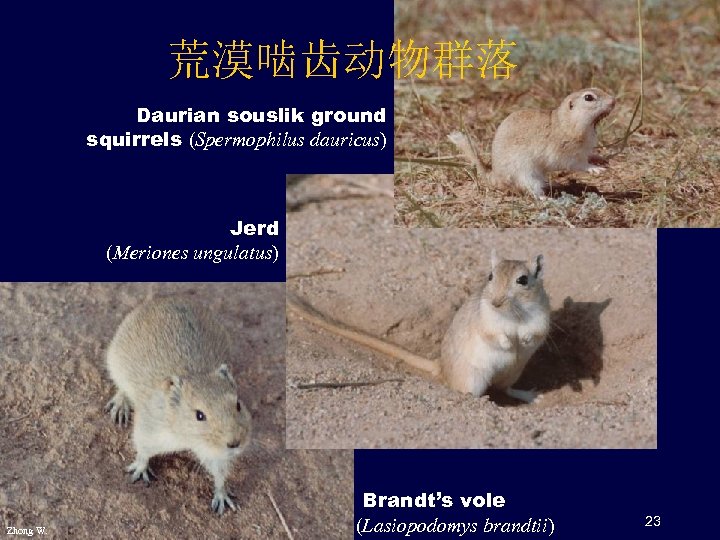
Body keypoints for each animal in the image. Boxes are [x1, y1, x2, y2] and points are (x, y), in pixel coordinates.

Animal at [105, 296, 252, 515]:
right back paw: (120, 408)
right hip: (115, 364)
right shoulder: (149, 431)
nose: (235, 443)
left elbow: (220, 474)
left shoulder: (215, 454)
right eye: (199, 415)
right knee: (121, 388)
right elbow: (142, 452)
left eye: (238, 405)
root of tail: (163, 299)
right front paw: (139, 471)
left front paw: (222, 497)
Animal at [288, 251, 550, 403]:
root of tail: (440, 367)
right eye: (490, 277)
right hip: (474, 377)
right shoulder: (486, 322)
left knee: (506, 390)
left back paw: (531, 395)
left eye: (522, 280)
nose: (495, 302)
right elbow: (494, 335)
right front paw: (510, 343)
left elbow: (535, 333)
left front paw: (523, 341)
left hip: (513, 372)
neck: (514, 315)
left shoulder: (541, 319)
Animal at [448, 88, 616, 197]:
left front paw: (601, 159)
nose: (614, 101)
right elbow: (579, 164)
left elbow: (590, 155)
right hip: (526, 176)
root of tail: (495, 177)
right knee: (532, 192)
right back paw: (547, 199)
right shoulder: (567, 153)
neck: (567, 122)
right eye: (588, 98)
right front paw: (595, 169)